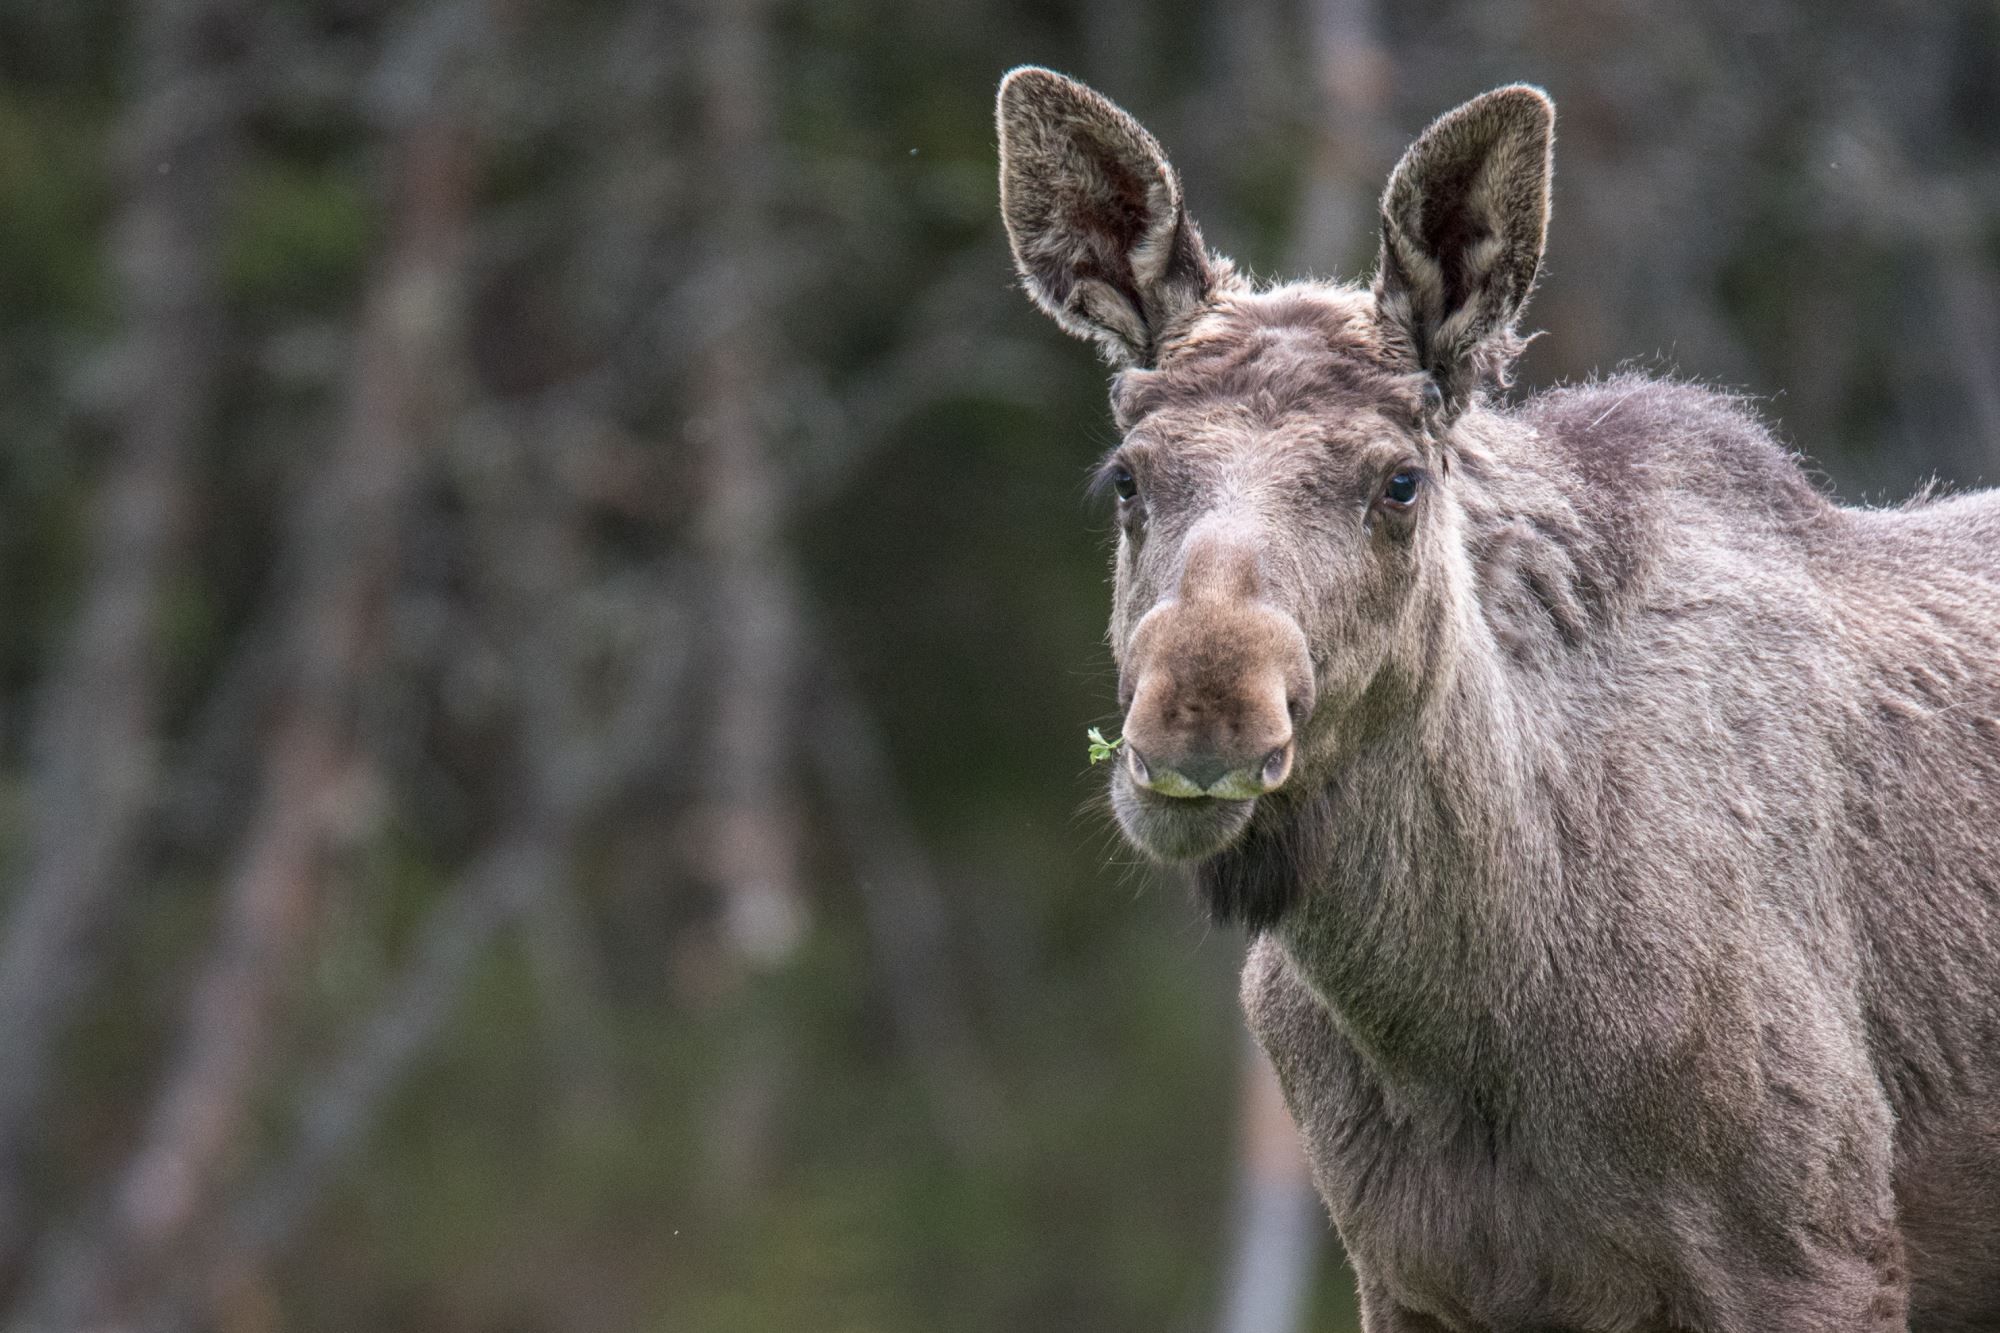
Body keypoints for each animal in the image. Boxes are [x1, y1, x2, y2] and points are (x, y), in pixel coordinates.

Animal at [996, 67, 2000, 1332]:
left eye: (1398, 481)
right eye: (1126, 476)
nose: (1201, 713)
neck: (1456, 1024)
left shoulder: (1817, 1250)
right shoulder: (1411, 1277)